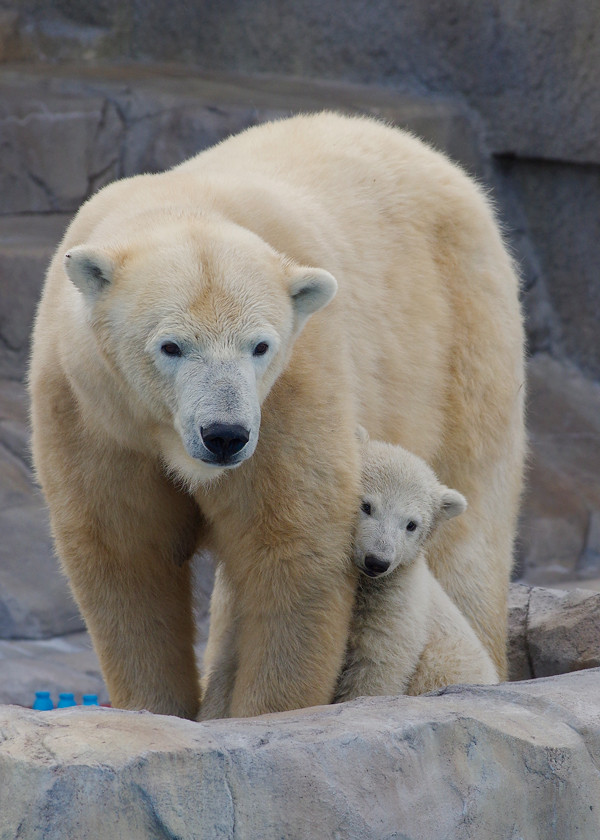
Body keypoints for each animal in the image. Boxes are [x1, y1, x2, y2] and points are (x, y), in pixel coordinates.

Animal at [29, 110, 524, 716]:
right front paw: (154, 708)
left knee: (469, 528)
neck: (179, 205)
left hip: (465, 335)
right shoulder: (90, 412)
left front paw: (268, 712)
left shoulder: (292, 388)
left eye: (260, 346)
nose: (224, 435)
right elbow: (124, 555)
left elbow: (292, 549)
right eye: (171, 346)